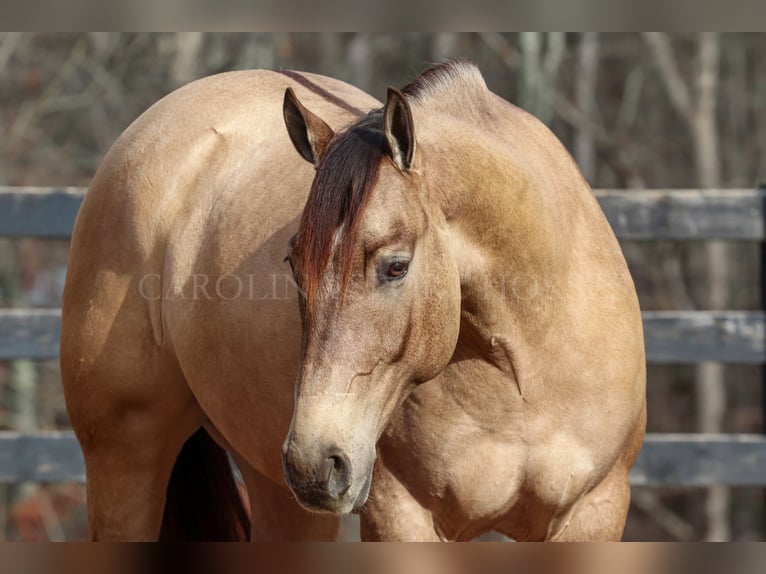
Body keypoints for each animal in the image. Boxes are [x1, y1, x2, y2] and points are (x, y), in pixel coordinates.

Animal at [61, 60, 648, 544]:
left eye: (396, 266)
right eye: (293, 264)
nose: (317, 461)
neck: (523, 373)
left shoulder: (596, 512)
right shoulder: (400, 514)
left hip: (283, 497)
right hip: (125, 462)